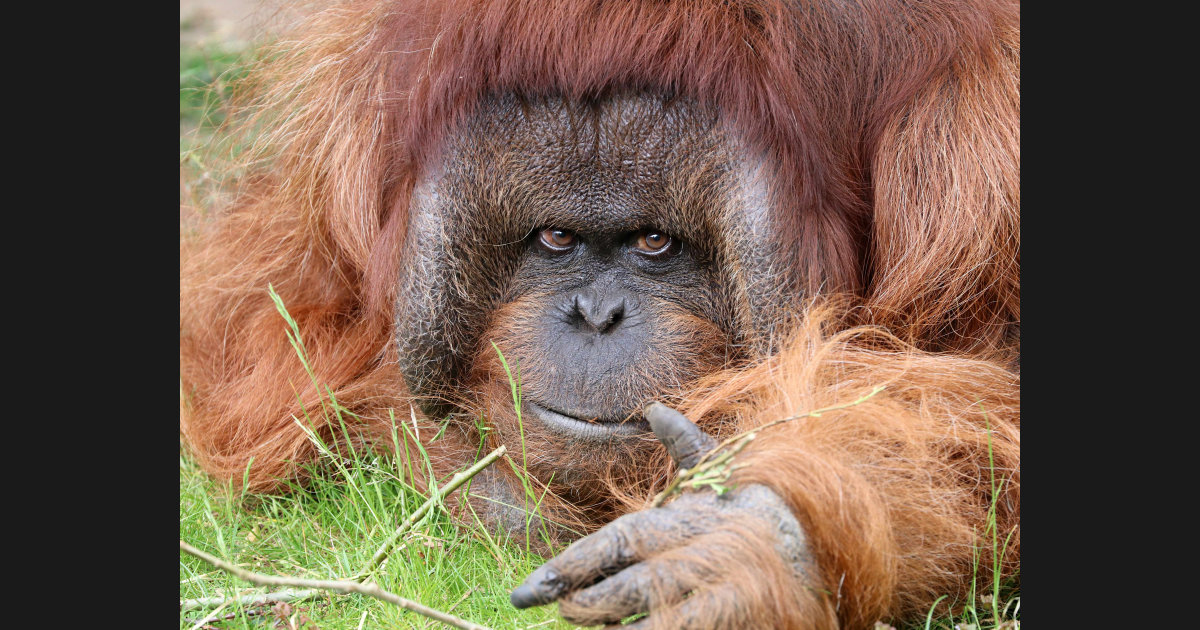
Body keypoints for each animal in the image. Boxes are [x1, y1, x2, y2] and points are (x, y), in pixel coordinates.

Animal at [180, 1, 1020, 627]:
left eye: (654, 242)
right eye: (556, 238)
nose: (596, 315)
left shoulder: (972, 158)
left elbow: (976, 421)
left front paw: (743, 543)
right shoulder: (349, 138)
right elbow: (267, 351)